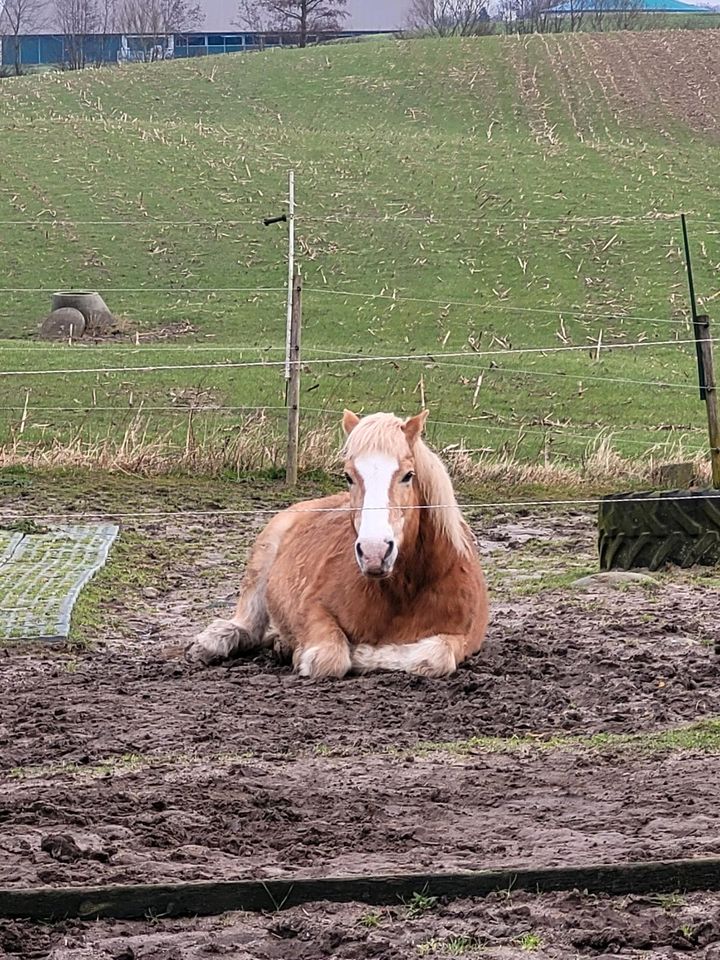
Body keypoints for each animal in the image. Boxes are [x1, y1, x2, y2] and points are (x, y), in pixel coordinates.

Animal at [186, 408, 490, 680]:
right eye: (348, 476)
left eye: (408, 475)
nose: (374, 553)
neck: (403, 593)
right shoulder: (313, 608)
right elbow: (329, 658)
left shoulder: (464, 638)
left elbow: (434, 657)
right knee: (247, 626)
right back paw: (213, 642)